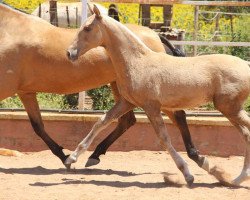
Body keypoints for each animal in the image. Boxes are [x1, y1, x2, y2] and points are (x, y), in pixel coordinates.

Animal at [0, 3, 205, 169]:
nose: (70, 53)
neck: (10, 30)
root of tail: (156, 35)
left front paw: (67, 157)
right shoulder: (26, 92)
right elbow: (38, 127)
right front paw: (64, 156)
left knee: (177, 116)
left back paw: (195, 156)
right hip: (121, 88)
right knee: (127, 120)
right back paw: (95, 155)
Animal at [66, 5, 250, 186]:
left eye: (87, 28)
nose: (69, 53)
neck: (138, 62)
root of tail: (246, 65)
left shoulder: (151, 106)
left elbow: (163, 138)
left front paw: (187, 174)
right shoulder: (127, 103)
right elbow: (101, 122)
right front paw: (71, 158)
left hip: (230, 108)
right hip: (230, 110)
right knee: (246, 135)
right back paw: (237, 179)